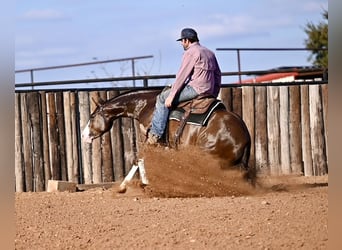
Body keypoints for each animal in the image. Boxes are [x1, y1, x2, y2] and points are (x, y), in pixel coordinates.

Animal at [81, 88, 255, 184]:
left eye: (91, 116)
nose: (83, 136)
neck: (147, 105)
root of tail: (245, 136)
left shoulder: (152, 139)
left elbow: (139, 158)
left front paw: (126, 186)